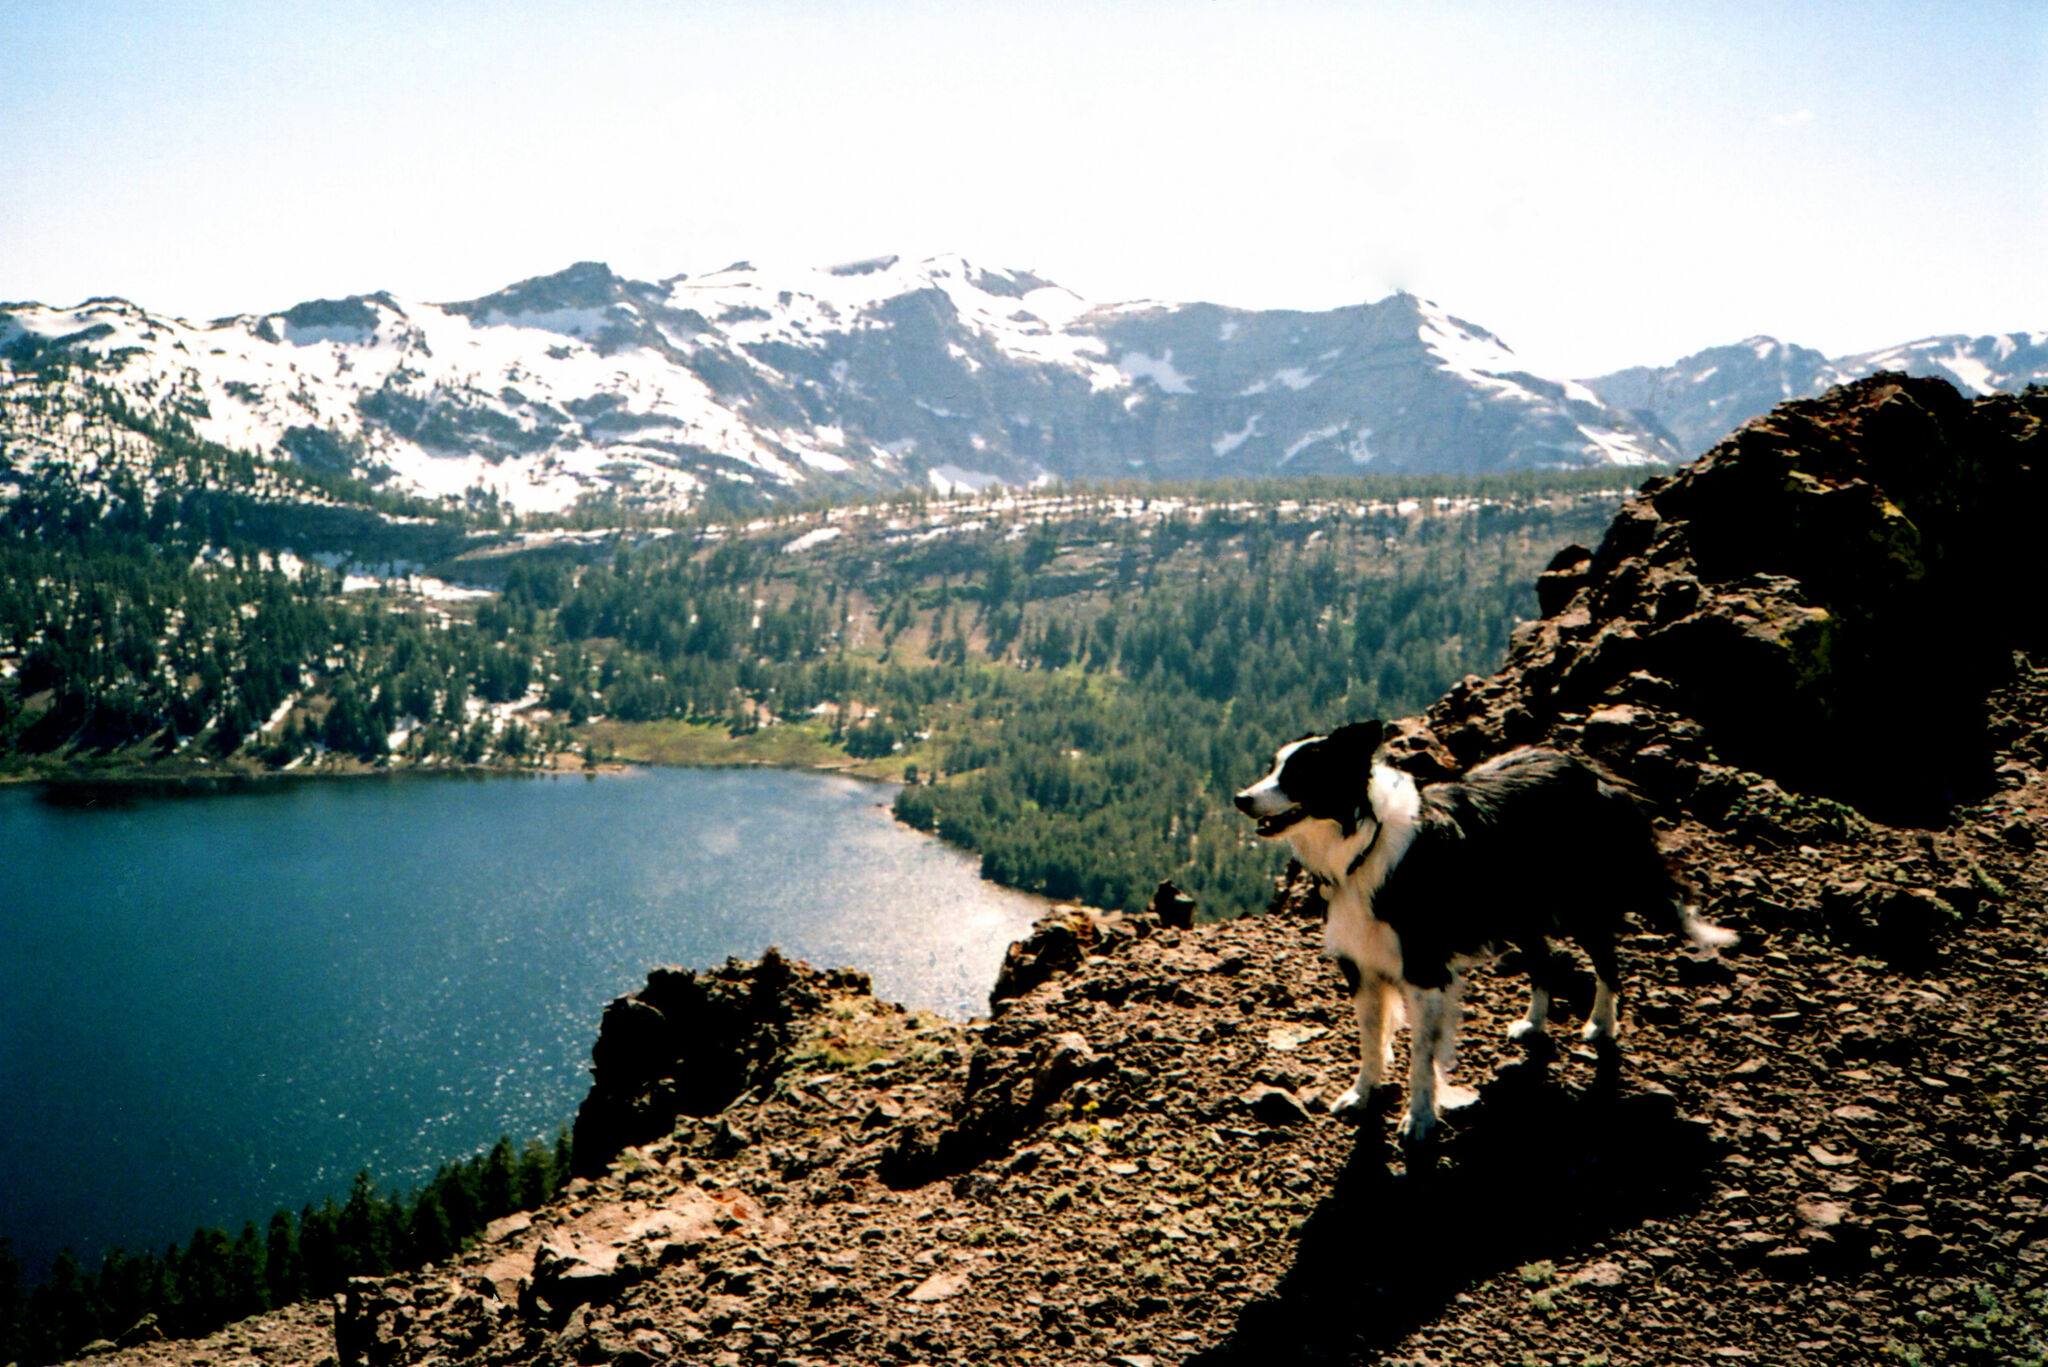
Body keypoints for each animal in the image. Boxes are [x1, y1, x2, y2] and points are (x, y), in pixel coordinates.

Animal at [1236, 725, 1736, 1147]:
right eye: (1272, 766)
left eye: (1300, 773)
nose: (1241, 798)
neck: (1362, 844)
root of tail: (1586, 767)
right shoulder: (1362, 965)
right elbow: (1371, 1041)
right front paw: (1362, 1094)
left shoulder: (1423, 969)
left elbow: (1421, 1057)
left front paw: (1419, 1119)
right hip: (1519, 910)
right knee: (1543, 959)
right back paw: (1533, 1024)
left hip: (1577, 904)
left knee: (1606, 958)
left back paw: (1601, 1025)